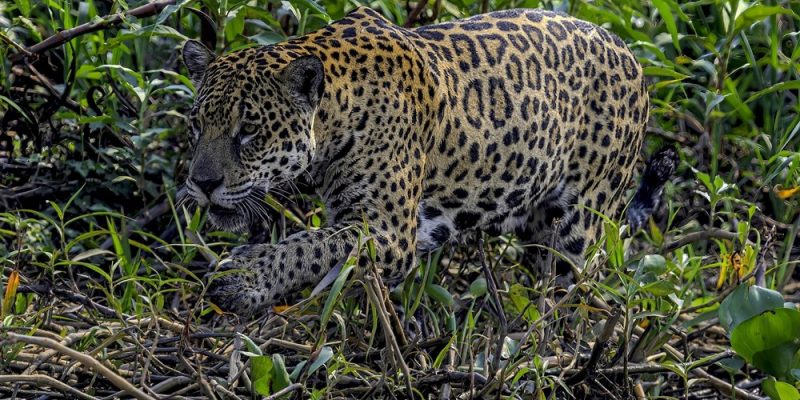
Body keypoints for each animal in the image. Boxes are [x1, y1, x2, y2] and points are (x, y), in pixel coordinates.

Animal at [181, 7, 652, 316]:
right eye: (197, 123)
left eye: (249, 131)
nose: (202, 183)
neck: (334, 112)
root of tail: (630, 51)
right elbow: (299, 240)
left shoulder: (388, 232)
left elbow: (306, 246)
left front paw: (243, 278)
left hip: (579, 229)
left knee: (580, 287)